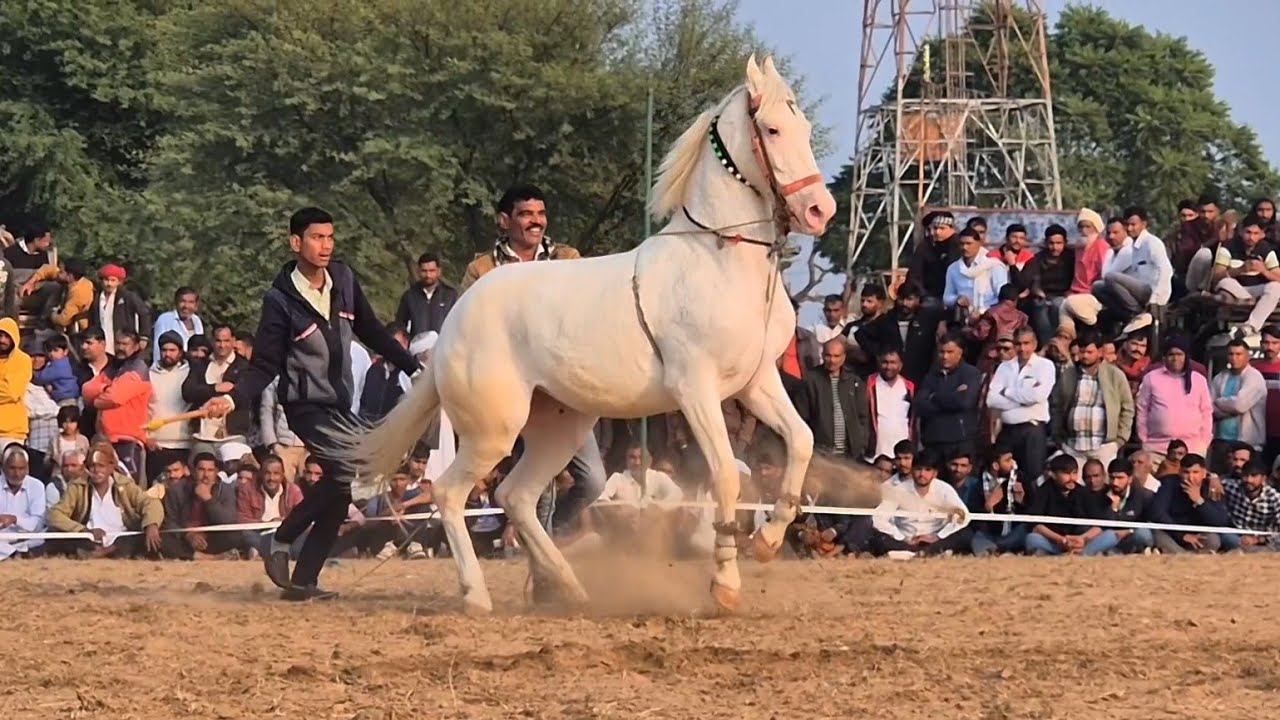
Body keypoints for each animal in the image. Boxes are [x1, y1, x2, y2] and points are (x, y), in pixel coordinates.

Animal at [333, 55, 838, 615]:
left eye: (804, 127)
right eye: (771, 129)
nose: (821, 211)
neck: (718, 259)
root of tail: (452, 326)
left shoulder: (754, 382)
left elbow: (801, 440)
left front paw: (768, 541)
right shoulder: (695, 390)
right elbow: (727, 473)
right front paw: (725, 586)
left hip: (560, 429)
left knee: (515, 497)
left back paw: (569, 588)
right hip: (493, 431)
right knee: (451, 494)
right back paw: (477, 595)